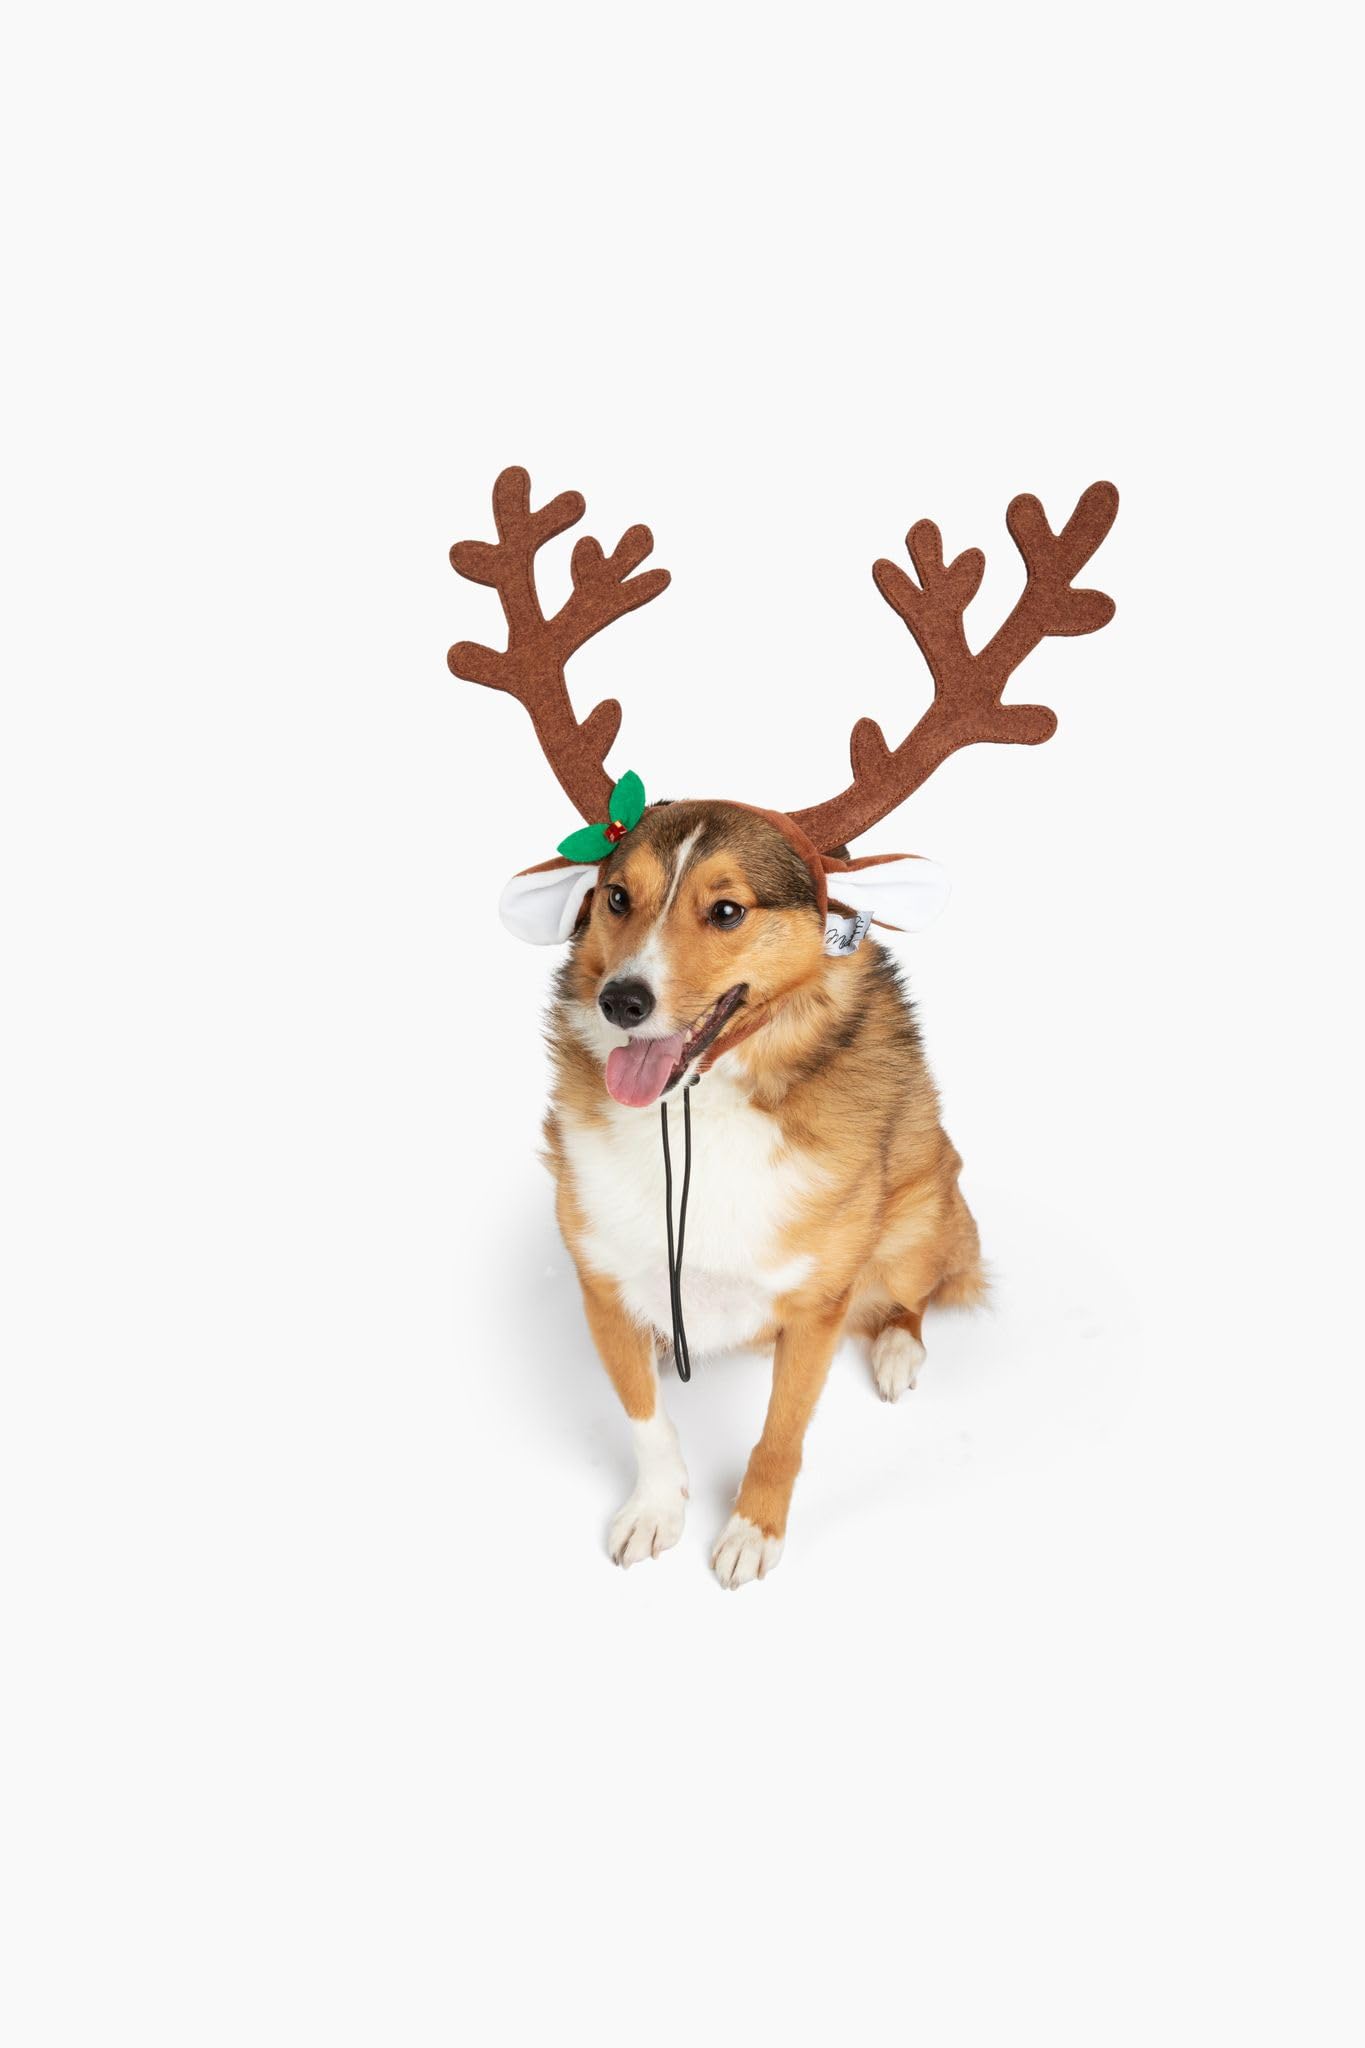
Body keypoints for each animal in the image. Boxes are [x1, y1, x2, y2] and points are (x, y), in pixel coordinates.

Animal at [450, 466, 1118, 1587]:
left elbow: (782, 1432)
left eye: (725, 910)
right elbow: (644, 1417)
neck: (704, 1110)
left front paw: (749, 1531)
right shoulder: (601, 1283)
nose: (622, 1000)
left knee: (919, 1287)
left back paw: (895, 1348)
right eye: (617, 897)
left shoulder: (814, 1307)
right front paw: (656, 1509)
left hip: (926, 1205)